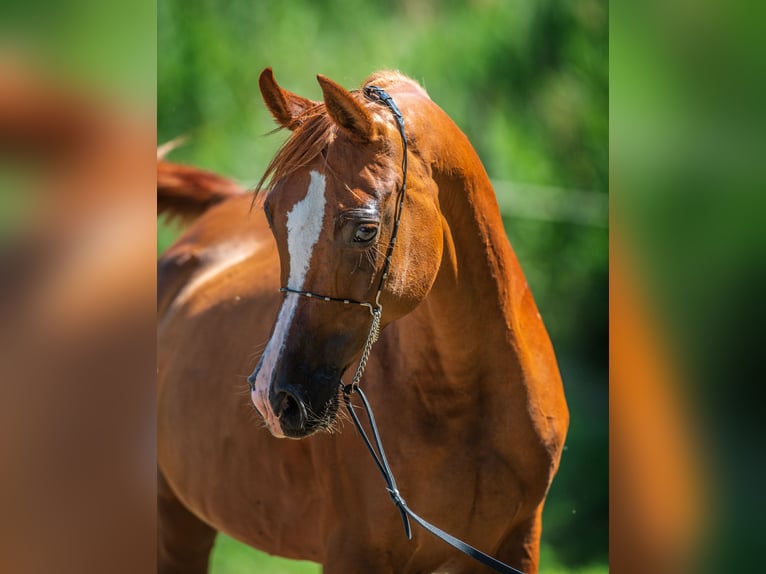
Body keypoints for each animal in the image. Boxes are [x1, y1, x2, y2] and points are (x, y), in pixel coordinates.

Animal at [159, 68, 568, 574]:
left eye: (365, 230)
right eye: (272, 217)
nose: (273, 397)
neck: (466, 398)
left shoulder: (518, 541)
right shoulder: (353, 551)